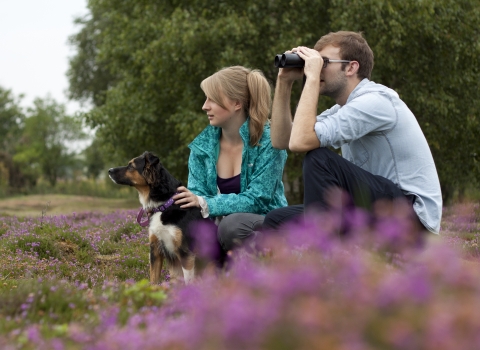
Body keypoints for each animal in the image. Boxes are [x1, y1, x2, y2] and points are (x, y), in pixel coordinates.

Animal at [109, 152, 209, 284]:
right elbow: (153, 279)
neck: (164, 204)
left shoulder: (185, 252)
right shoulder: (155, 248)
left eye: (131, 166)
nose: (109, 170)